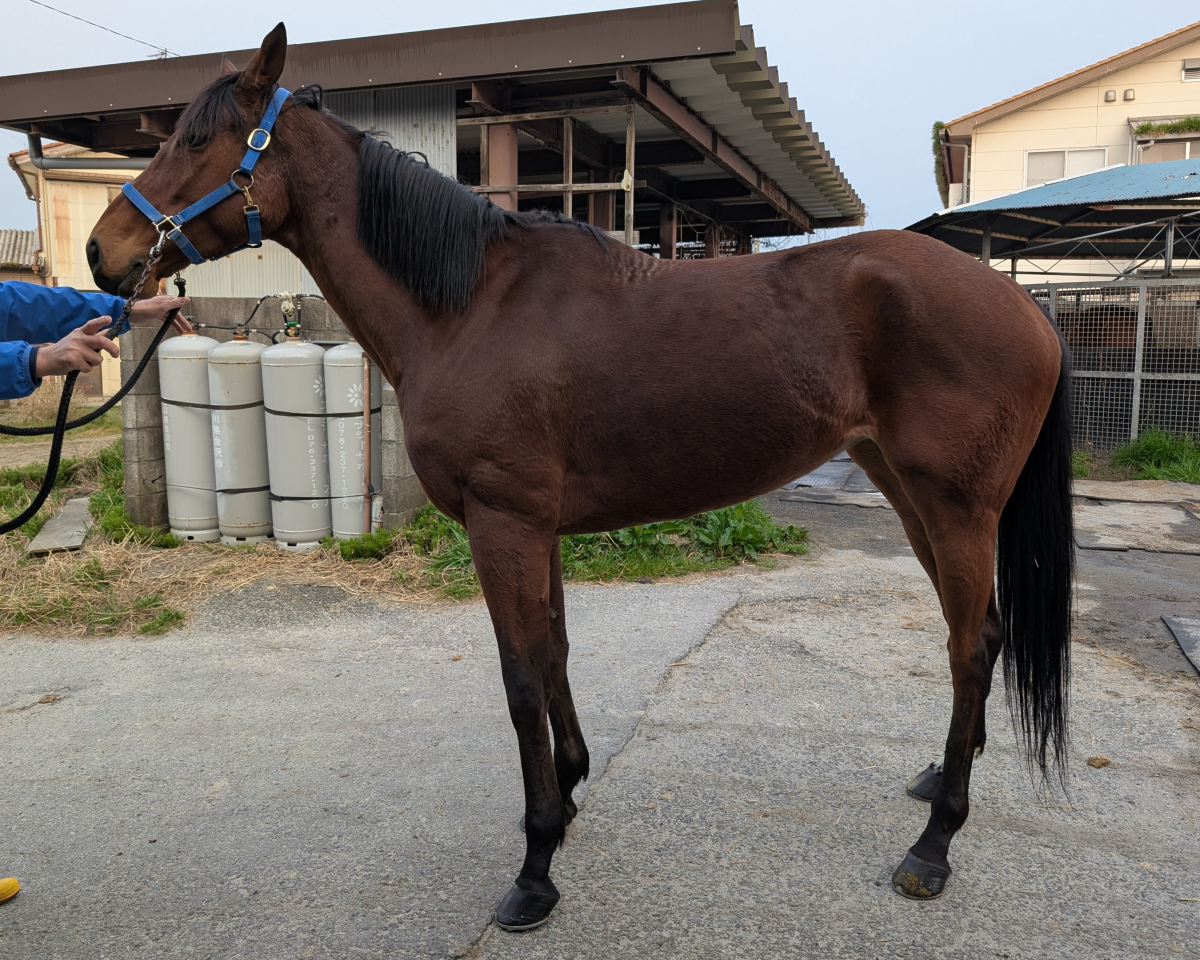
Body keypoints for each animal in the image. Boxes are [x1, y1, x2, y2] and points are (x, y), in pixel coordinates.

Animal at [86, 24, 1074, 930]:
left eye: (198, 141)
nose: (103, 252)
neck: (469, 307)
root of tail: (1024, 306)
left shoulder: (503, 524)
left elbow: (521, 677)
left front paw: (534, 868)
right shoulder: (538, 528)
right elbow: (555, 653)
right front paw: (566, 797)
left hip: (955, 508)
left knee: (970, 646)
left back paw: (934, 846)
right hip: (909, 497)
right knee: (978, 638)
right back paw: (939, 780)